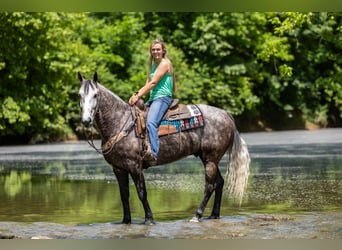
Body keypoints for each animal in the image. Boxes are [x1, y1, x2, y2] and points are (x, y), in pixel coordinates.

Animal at [77, 71, 250, 224]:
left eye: (95, 95)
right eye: (79, 95)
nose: (86, 121)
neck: (120, 122)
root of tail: (226, 114)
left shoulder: (135, 166)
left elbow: (141, 192)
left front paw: (149, 219)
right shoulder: (118, 168)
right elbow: (124, 195)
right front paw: (126, 221)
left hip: (210, 159)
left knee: (210, 186)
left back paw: (197, 216)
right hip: (208, 158)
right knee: (219, 183)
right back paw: (214, 215)